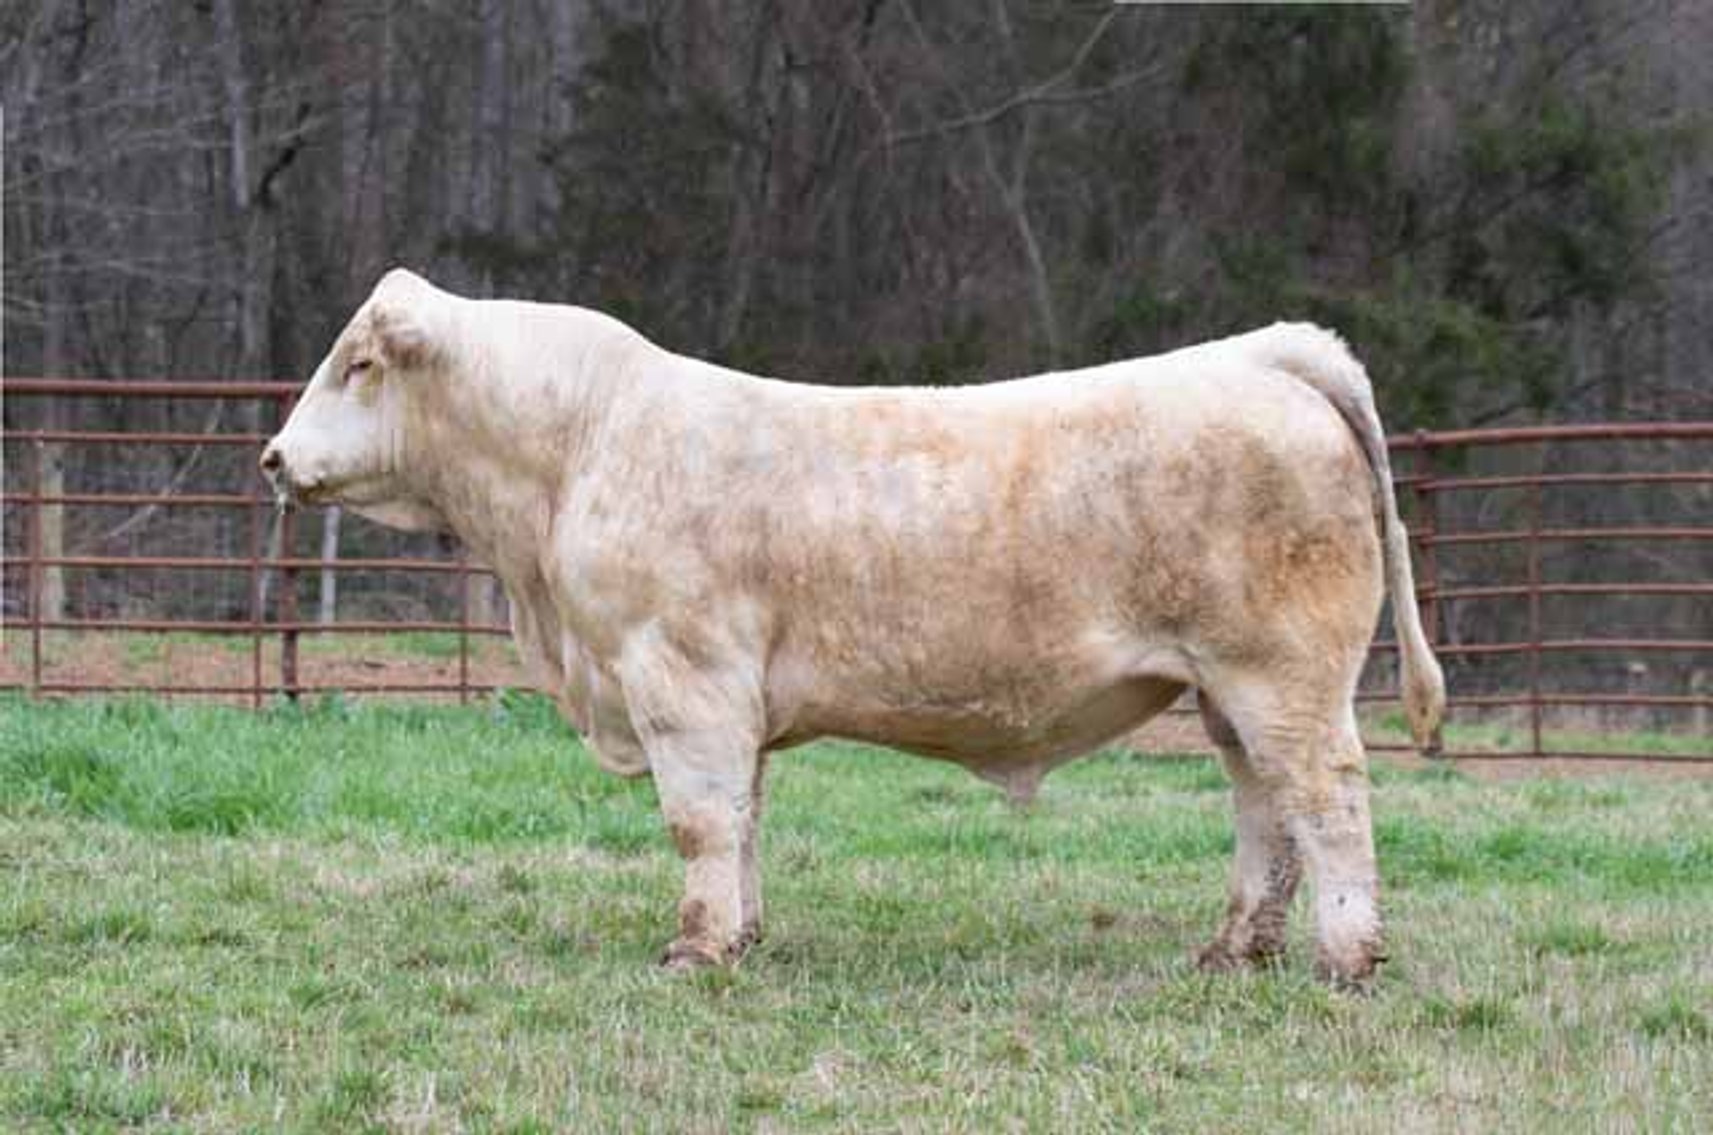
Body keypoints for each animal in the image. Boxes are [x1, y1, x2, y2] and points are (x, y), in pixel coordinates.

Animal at [262, 268, 1444, 987]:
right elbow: (742, 820)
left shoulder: (680, 680)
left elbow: (698, 822)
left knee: (1326, 798)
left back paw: (1345, 959)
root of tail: (1265, 354)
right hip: (1230, 691)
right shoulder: (728, 701)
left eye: (359, 364)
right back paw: (1234, 948)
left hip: (1284, 675)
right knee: (1264, 808)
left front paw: (695, 952)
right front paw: (740, 934)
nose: (274, 456)